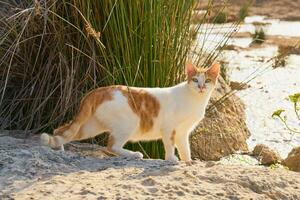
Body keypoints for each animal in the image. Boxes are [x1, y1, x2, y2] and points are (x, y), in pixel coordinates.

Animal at [39, 61, 219, 162]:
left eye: (207, 81)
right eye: (195, 79)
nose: (201, 87)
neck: (195, 100)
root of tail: (98, 90)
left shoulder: (183, 132)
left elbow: (185, 149)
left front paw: (188, 162)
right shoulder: (169, 128)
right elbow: (169, 145)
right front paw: (171, 159)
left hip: (89, 127)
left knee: (60, 130)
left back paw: (59, 149)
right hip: (129, 124)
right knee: (111, 147)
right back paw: (133, 154)